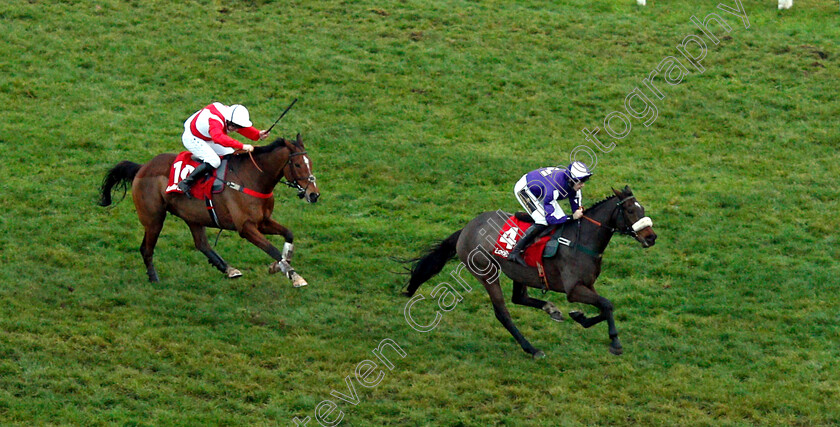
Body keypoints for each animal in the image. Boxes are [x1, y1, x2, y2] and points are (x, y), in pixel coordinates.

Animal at [98, 134, 320, 288]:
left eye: (310, 163)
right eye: (298, 164)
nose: (314, 194)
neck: (253, 179)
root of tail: (143, 167)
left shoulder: (263, 221)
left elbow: (288, 234)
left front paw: (279, 266)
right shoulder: (246, 227)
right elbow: (272, 249)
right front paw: (293, 275)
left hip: (193, 216)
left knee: (201, 244)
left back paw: (229, 269)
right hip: (154, 219)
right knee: (146, 248)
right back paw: (154, 279)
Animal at [406, 186, 656, 358]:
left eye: (642, 208)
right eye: (630, 210)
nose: (651, 237)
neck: (582, 240)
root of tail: (467, 229)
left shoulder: (588, 284)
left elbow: (603, 307)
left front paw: (580, 317)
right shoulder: (573, 289)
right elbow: (607, 304)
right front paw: (615, 343)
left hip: (519, 272)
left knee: (519, 298)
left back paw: (551, 309)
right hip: (487, 273)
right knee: (503, 313)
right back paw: (532, 348)